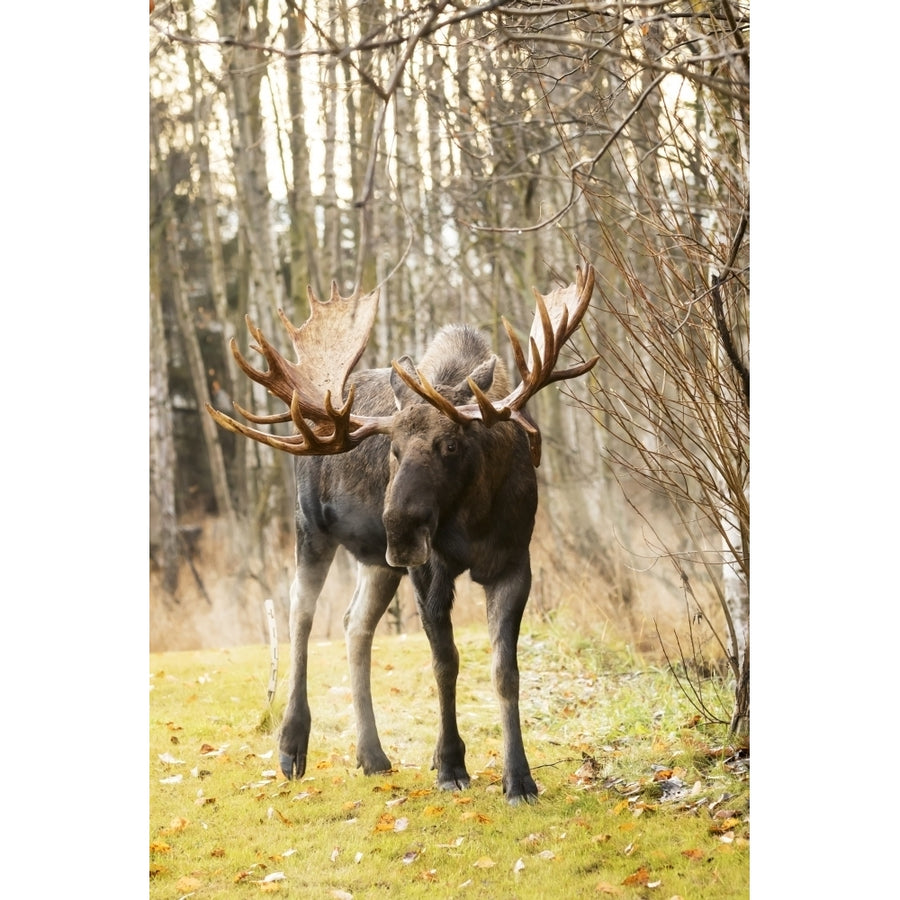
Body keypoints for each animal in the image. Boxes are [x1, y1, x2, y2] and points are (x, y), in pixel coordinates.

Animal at [206, 264, 596, 804]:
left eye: (450, 444)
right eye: (392, 448)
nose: (398, 526)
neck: (473, 517)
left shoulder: (515, 562)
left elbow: (505, 671)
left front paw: (518, 778)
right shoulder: (429, 569)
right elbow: (445, 663)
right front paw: (450, 764)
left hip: (375, 561)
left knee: (355, 624)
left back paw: (372, 755)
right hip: (312, 528)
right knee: (300, 612)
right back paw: (292, 745)